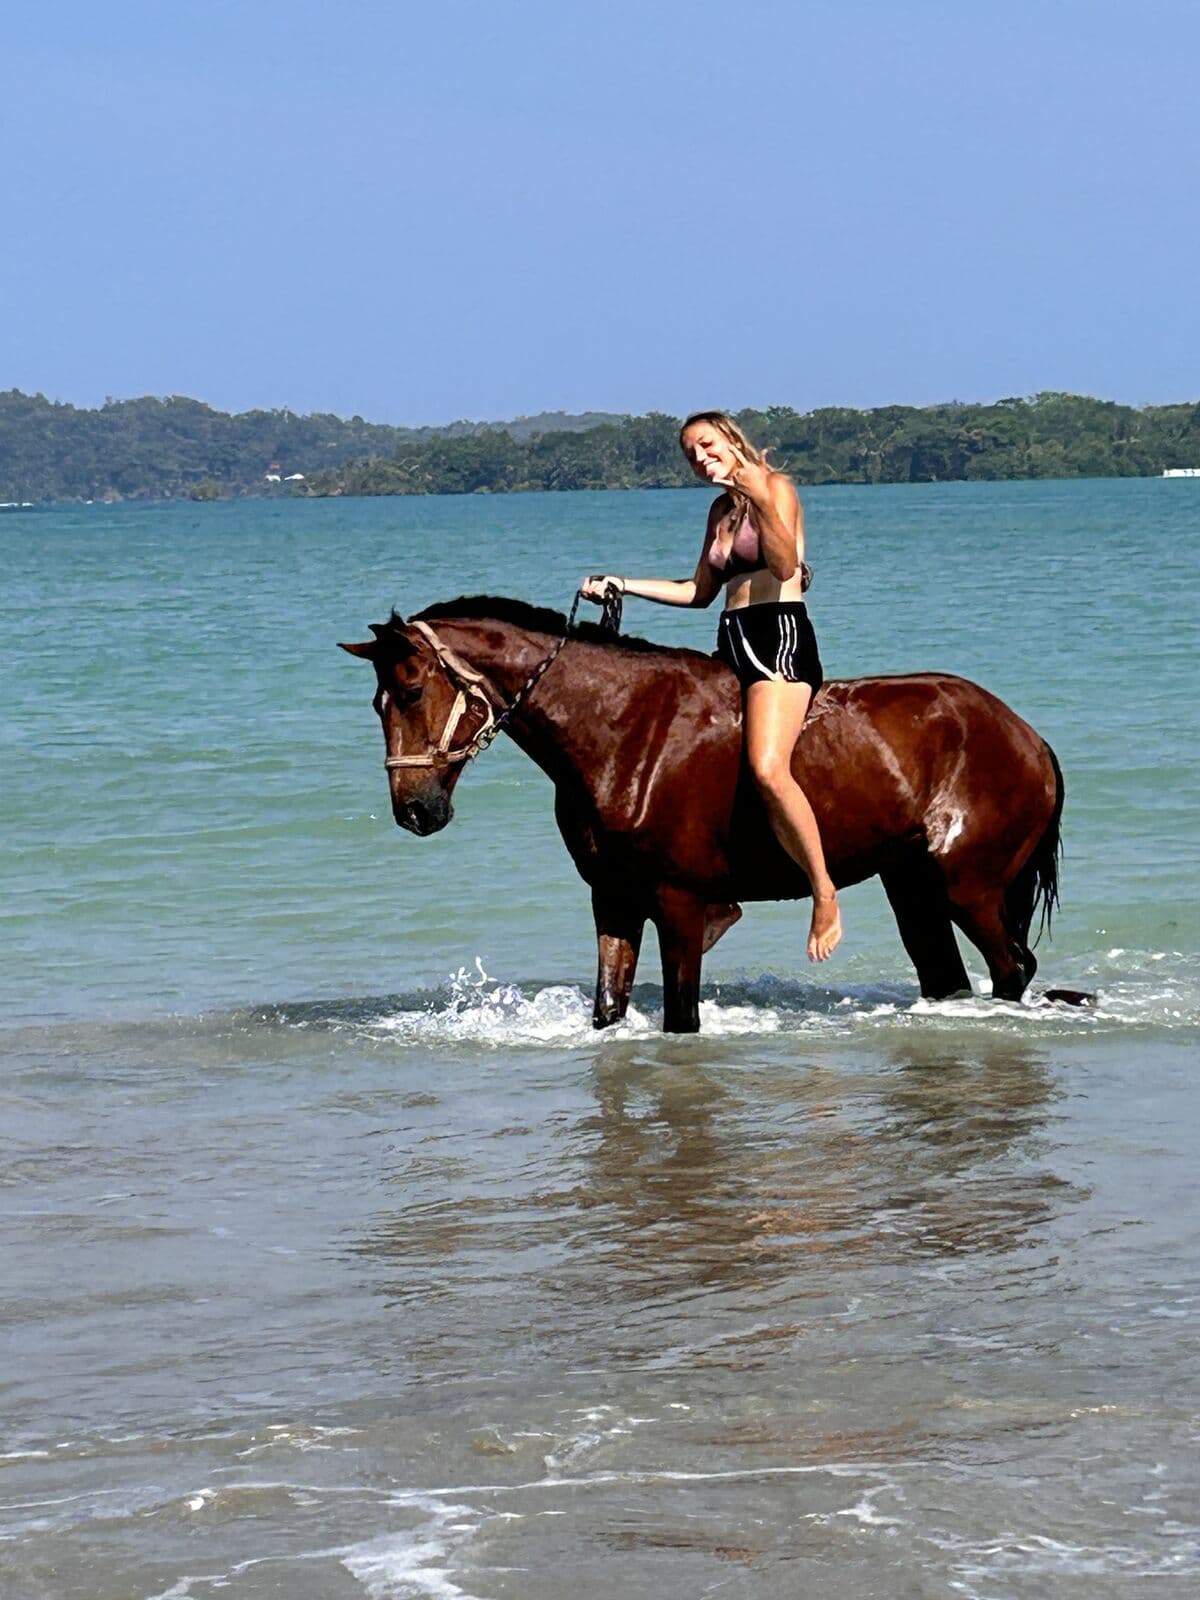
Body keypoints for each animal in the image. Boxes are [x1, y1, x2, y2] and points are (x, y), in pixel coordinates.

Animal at [341, 595, 1073, 1033]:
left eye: (411, 690)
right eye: (378, 703)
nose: (415, 810)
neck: (624, 731)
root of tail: (1028, 737)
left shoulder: (681, 903)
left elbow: (681, 1017)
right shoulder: (614, 899)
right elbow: (609, 1008)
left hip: (967, 887)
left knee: (1013, 970)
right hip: (914, 888)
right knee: (952, 978)